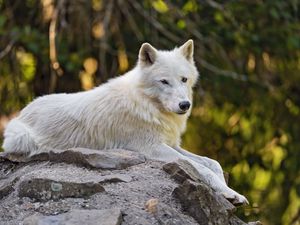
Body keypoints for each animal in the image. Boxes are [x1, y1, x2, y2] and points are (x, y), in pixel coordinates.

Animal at [2, 39, 248, 205]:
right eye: (164, 82)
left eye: (184, 79)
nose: (184, 105)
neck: (148, 104)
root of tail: (23, 111)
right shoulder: (152, 147)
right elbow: (201, 168)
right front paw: (229, 193)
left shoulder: (171, 144)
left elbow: (212, 163)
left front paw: (232, 193)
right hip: (21, 136)